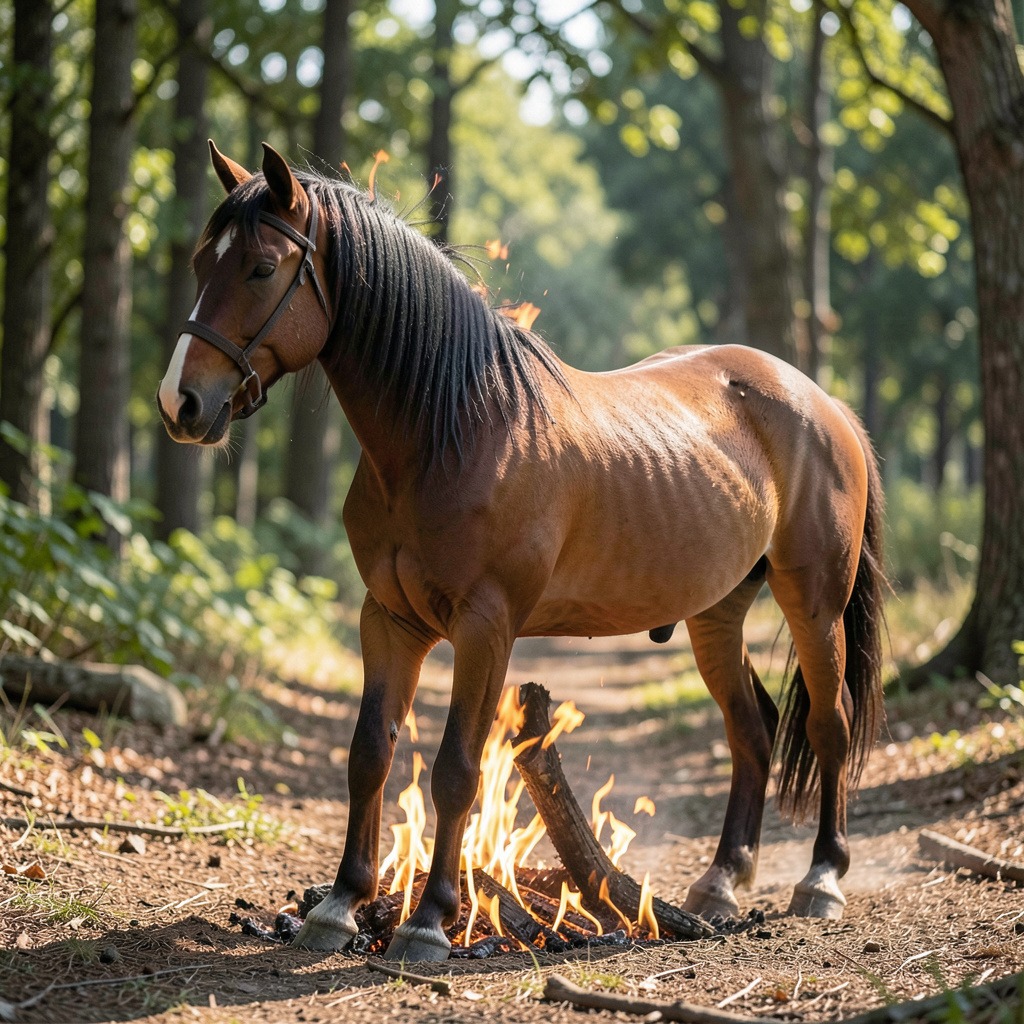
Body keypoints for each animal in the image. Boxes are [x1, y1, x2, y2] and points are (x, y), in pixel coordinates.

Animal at [157, 141, 886, 962]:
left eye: (260, 267)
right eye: (200, 262)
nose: (180, 403)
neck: (453, 431)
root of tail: (820, 402)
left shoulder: (486, 627)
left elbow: (456, 769)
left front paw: (429, 923)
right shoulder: (389, 621)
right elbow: (369, 752)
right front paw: (341, 904)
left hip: (813, 602)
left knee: (830, 724)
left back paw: (821, 879)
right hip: (716, 615)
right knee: (752, 731)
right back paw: (721, 882)